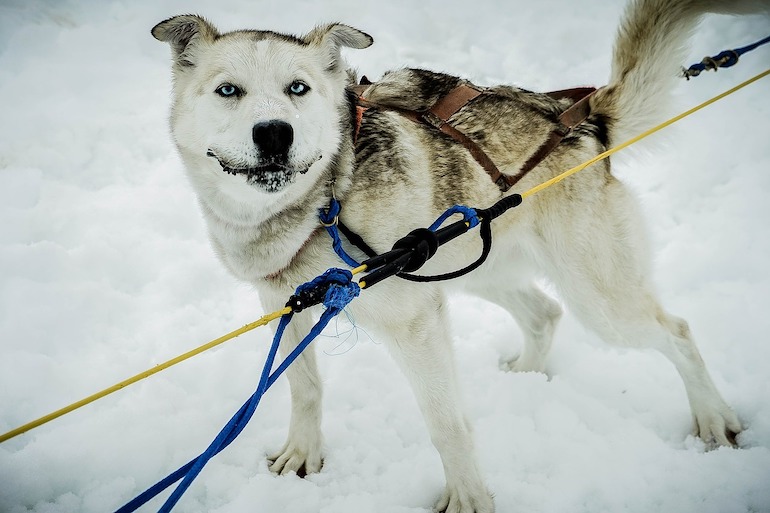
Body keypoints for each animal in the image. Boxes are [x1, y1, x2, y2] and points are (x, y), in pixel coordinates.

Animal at [152, 2, 760, 510]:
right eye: (228, 90)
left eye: (297, 88)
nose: (275, 133)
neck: (325, 202)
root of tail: (579, 118)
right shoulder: (287, 307)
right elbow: (304, 388)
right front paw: (303, 455)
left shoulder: (416, 324)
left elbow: (446, 423)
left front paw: (468, 499)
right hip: (467, 264)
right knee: (545, 313)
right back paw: (527, 376)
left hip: (599, 299)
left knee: (676, 331)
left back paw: (714, 419)